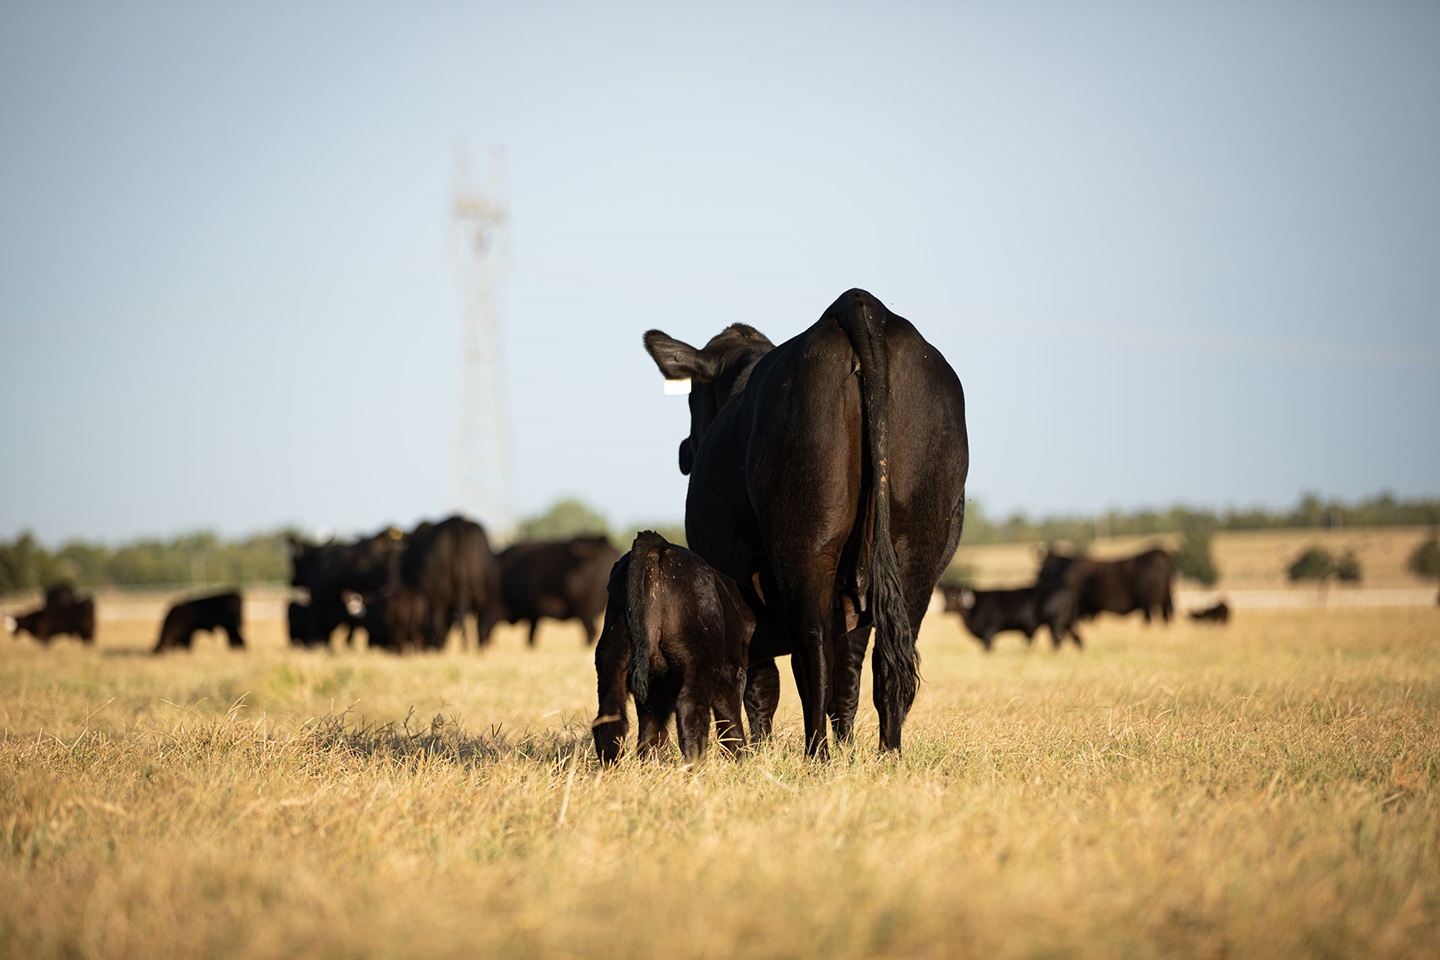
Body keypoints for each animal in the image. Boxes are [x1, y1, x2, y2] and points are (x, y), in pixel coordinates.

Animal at [593, 531, 755, 764]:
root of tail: (661, 546)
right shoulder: (733, 673)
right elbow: (730, 722)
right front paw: (740, 758)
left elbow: (653, 728)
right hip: (699, 660)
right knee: (692, 711)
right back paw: (695, 767)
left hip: (612, 656)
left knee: (611, 717)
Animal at [643, 288, 968, 757]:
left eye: (692, 398)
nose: (686, 450)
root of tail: (861, 304)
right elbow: (848, 670)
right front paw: (847, 745)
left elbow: (760, 679)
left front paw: (756, 750)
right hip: (917, 548)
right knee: (886, 660)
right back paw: (887, 754)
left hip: (806, 540)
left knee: (811, 648)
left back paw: (817, 754)